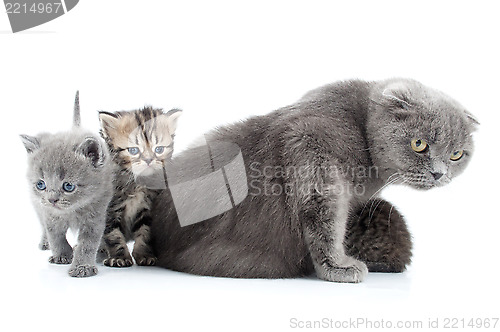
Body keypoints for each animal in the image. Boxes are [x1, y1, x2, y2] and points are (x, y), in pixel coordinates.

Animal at [21, 91, 113, 278]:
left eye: (68, 186)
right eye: (41, 184)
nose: (52, 200)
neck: (72, 212)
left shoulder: (96, 215)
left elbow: (88, 243)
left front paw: (82, 266)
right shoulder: (50, 215)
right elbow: (55, 236)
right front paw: (62, 255)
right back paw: (45, 243)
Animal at [97, 106, 182, 268]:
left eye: (159, 149)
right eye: (133, 150)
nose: (148, 160)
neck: (137, 183)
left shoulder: (148, 208)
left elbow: (145, 232)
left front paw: (144, 255)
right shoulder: (109, 210)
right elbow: (113, 235)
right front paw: (119, 257)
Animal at [149, 78, 476, 282]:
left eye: (457, 154)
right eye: (419, 144)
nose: (439, 173)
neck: (361, 130)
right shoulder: (312, 148)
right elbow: (324, 220)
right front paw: (339, 267)